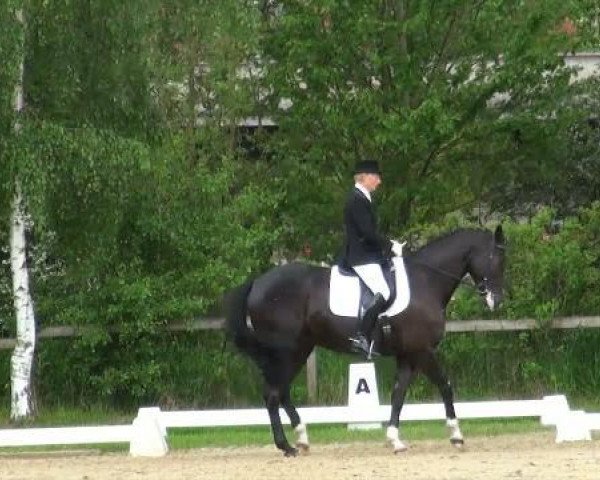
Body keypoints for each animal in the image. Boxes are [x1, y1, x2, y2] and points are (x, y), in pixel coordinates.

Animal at [225, 227, 506, 456]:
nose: (496, 300)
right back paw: (286, 446)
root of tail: (257, 282)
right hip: (287, 351)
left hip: (300, 349)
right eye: (497, 259)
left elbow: (398, 395)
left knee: (281, 392)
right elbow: (445, 386)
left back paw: (302, 439)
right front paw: (456, 436)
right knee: (272, 394)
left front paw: (395, 440)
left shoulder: (408, 355)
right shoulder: (423, 351)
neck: (426, 281)